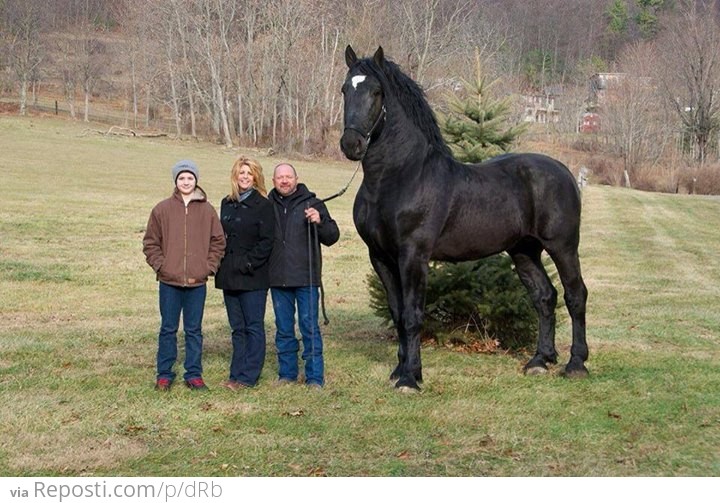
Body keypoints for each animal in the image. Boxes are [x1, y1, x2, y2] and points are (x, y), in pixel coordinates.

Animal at [340, 46, 588, 394]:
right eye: (345, 90)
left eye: (376, 92)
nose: (352, 145)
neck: (400, 177)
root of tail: (564, 171)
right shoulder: (380, 257)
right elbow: (398, 313)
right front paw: (401, 369)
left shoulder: (413, 256)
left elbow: (413, 315)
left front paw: (410, 379)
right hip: (524, 251)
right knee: (545, 297)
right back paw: (540, 361)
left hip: (562, 247)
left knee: (575, 295)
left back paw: (576, 364)